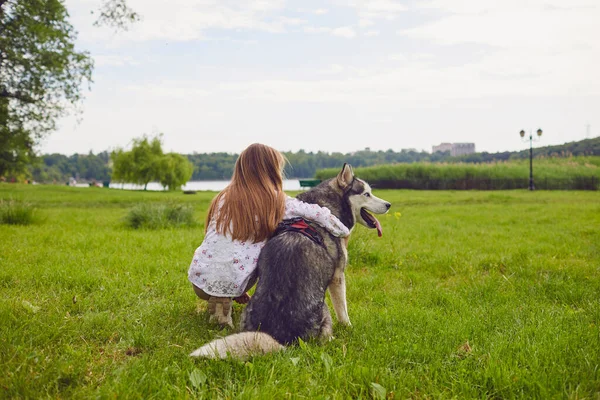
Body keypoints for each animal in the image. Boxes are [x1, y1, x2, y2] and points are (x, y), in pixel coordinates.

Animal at [190, 164, 392, 358]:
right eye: (367, 194)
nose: (389, 204)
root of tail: (280, 337)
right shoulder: (338, 277)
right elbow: (343, 311)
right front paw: (349, 327)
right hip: (324, 310)